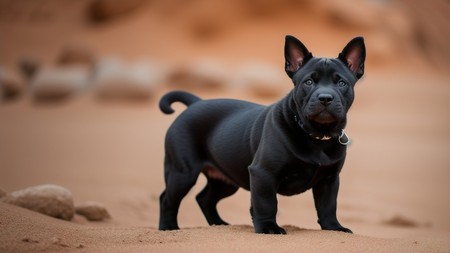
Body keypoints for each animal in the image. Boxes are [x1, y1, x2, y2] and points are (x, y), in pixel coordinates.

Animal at [158, 34, 366, 234]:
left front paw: (334, 228)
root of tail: (195, 103)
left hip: (225, 180)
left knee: (205, 199)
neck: (317, 135)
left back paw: (219, 224)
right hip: (182, 172)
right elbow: (266, 204)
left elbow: (328, 206)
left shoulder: (329, 180)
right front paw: (268, 228)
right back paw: (169, 227)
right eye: (308, 82)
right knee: (167, 199)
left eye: (341, 83)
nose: (325, 97)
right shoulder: (263, 173)